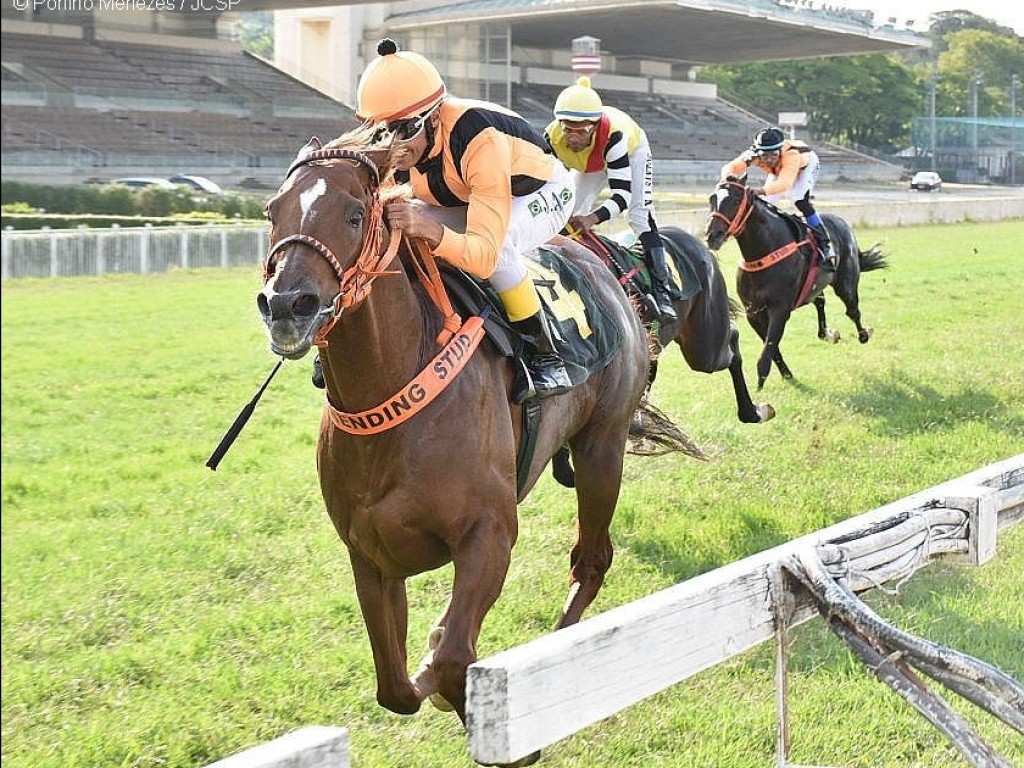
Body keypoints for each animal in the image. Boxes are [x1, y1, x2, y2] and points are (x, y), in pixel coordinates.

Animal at [256, 135, 663, 765]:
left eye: (354, 214)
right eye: (274, 212)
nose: (285, 305)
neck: (394, 391)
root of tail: (599, 258)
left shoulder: (487, 534)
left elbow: (451, 658)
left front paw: (508, 730)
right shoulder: (369, 554)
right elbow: (397, 686)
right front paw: (429, 663)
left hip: (602, 447)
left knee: (592, 559)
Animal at [704, 179, 888, 391]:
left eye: (735, 201)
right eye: (712, 199)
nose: (712, 235)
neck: (763, 253)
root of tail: (843, 223)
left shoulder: (780, 309)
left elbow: (768, 349)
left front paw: (760, 383)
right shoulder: (753, 312)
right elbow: (772, 347)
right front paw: (786, 375)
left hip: (845, 282)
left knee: (853, 310)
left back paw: (864, 334)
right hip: (815, 285)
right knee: (820, 301)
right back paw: (827, 334)